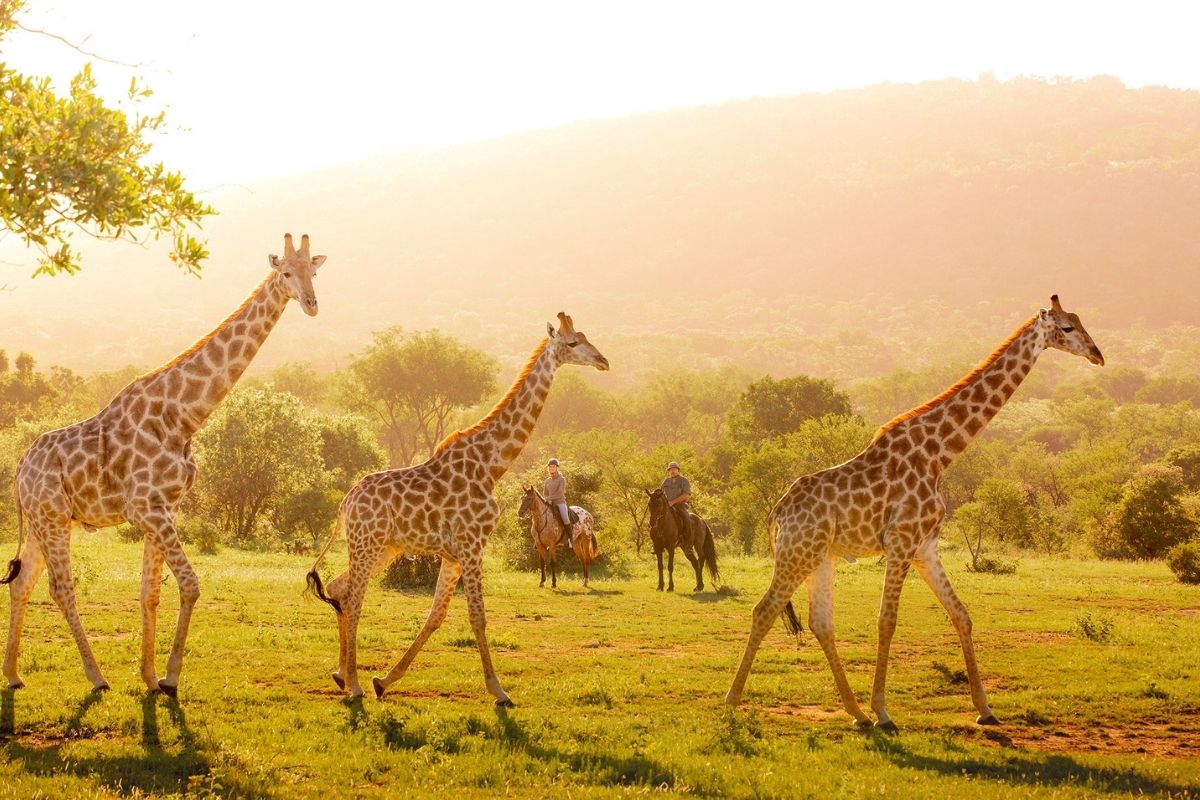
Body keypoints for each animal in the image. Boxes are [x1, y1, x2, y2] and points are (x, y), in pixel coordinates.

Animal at [2, 234, 326, 696]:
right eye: (285, 272)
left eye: (313, 271)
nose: (312, 303)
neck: (183, 416)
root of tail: (18, 471)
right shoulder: (147, 509)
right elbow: (189, 584)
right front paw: (171, 678)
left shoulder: (164, 508)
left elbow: (150, 592)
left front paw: (150, 676)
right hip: (51, 517)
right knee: (60, 588)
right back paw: (96, 677)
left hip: (46, 519)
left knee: (21, 582)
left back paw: (13, 673)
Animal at [307, 312, 609, 703]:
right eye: (572, 343)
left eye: (586, 337)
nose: (603, 361)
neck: (492, 464)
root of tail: (346, 503)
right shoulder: (472, 544)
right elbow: (477, 615)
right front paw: (498, 690)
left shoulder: (452, 554)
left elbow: (437, 614)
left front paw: (385, 680)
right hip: (366, 544)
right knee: (355, 598)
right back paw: (355, 684)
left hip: (383, 548)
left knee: (340, 587)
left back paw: (342, 675)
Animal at [725, 295, 1103, 731]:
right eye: (1067, 328)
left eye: (1080, 321)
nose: (1098, 355)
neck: (939, 454)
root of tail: (777, 512)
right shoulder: (901, 540)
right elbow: (886, 620)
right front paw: (884, 711)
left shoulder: (926, 546)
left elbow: (961, 614)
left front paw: (985, 708)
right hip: (797, 553)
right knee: (764, 610)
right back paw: (733, 701)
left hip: (821, 557)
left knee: (820, 623)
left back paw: (854, 712)